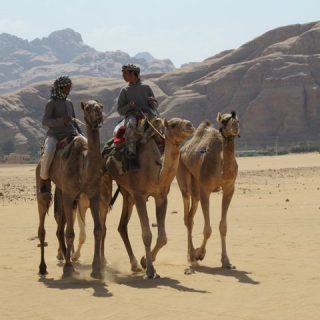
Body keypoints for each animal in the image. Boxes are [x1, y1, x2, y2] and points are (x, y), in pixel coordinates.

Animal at [36, 99, 105, 278]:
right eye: (87, 108)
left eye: (100, 106)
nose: (99, 115)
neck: (84, 166)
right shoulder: (69, 194)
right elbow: (70, 232)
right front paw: (68, 269)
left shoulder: (93, 195)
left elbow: (97, 230)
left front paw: (96, 269)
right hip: (43, 174)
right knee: (43, 224)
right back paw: (43, 267)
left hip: (62, 193)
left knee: (59, 228)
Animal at [175, 111, 240, 268]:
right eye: (224, 120)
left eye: (238, 119)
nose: (235, 125)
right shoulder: (205, 189)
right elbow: (207, 230)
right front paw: (200, 254)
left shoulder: (229, 188)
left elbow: (223, 226)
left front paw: (226, 261)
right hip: (182, 173)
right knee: (187, 217)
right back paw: (191, 257)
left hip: (196, 190)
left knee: (190, 217)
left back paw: (191, 253)